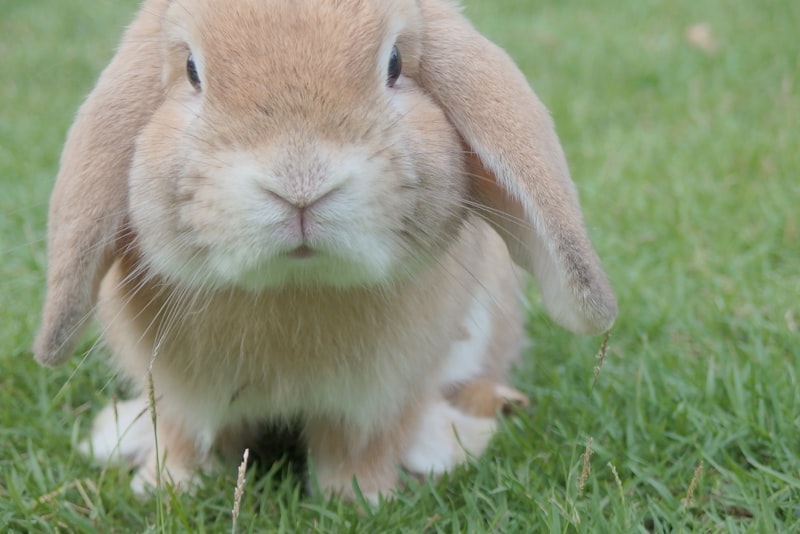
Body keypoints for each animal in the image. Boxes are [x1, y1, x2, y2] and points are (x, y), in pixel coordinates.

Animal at [34, 0, 617, 501]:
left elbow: (357, 448)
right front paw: (166, 488)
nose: (300, 183)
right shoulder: (179, 397)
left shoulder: (376, 399)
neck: (294, 286)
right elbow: (184, 439)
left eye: (395, 63)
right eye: (193, 70)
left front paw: (361, 500)